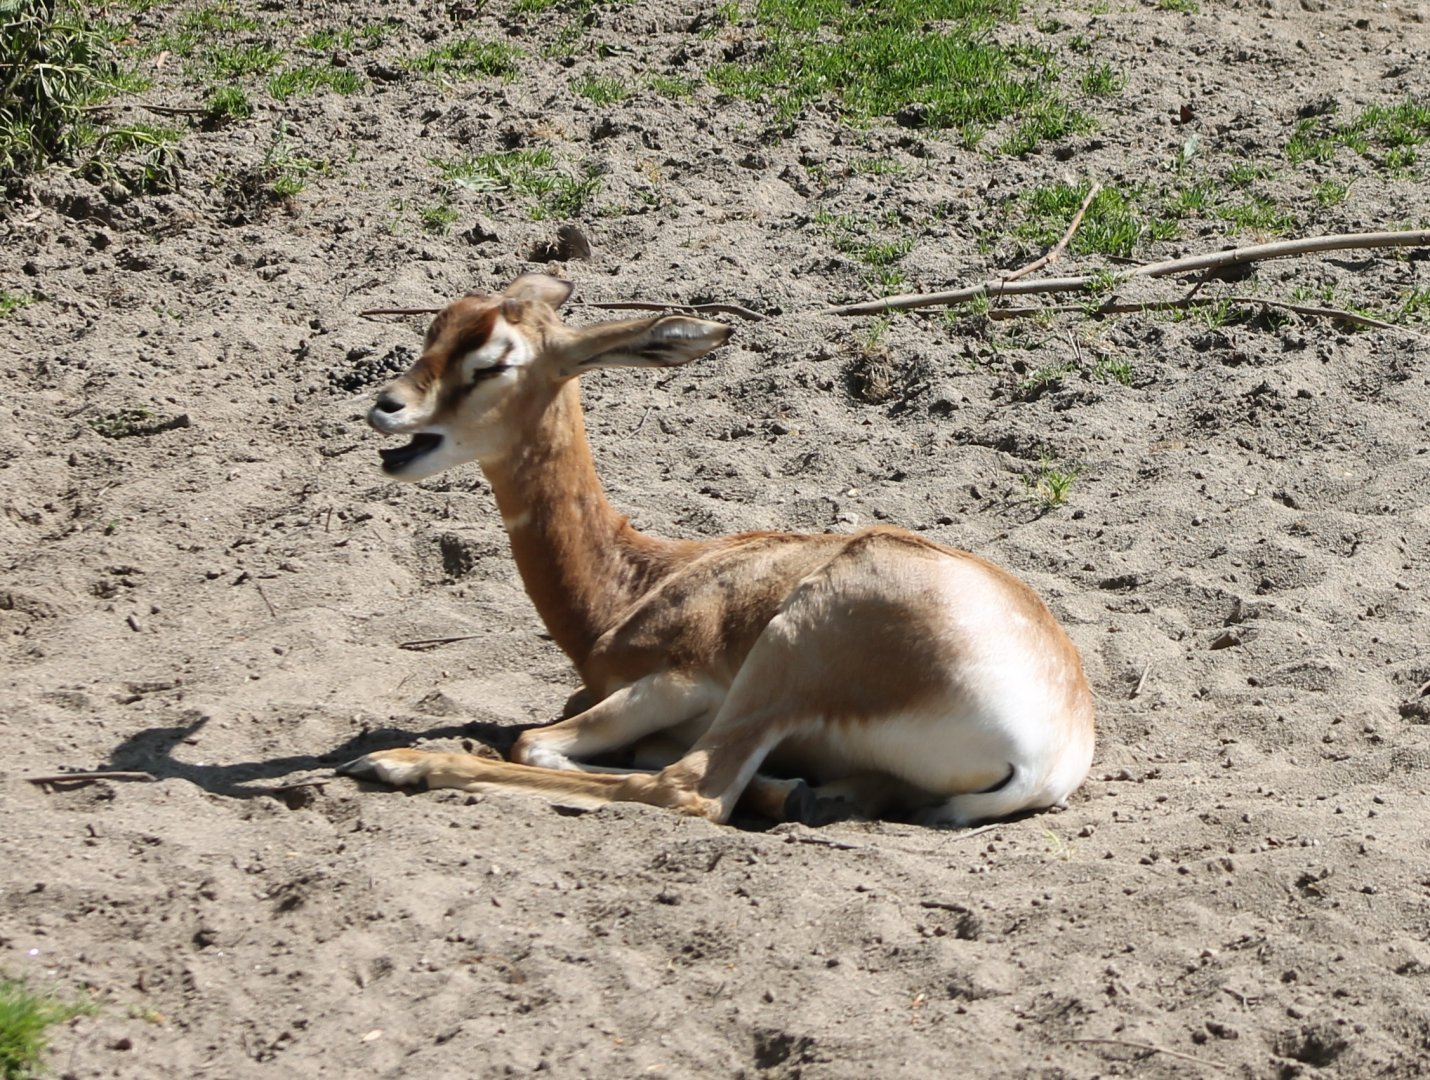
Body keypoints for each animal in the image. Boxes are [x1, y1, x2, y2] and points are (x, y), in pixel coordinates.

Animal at [338, 275, 1095, 826]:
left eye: (494, 361)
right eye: (435, 330)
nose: (388, 406)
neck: (638, 581)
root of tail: (1054, 748)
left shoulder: (678, 682)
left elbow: (539, 741)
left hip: (785, 650)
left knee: (686, 788)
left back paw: (401, 762)